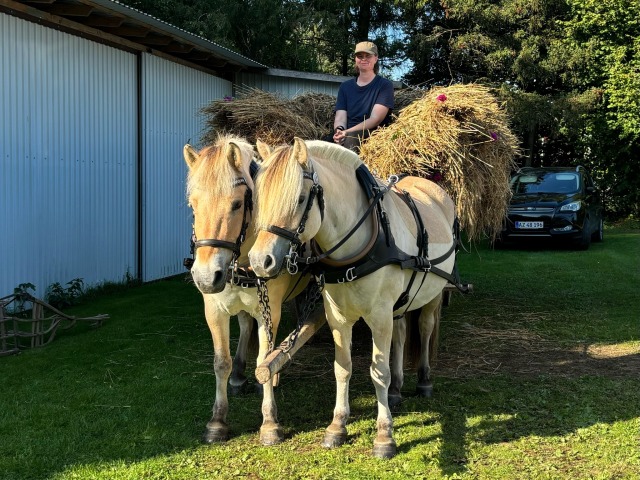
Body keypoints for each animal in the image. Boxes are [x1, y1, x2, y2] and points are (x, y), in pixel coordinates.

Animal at [182, 135, 310, 446]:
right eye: (193, 205)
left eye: (237, 203)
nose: (205, 277)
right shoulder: (214, 310)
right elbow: (221, 362)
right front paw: (217, 421)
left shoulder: (269, 312)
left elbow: (265, 360)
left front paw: (270, 423)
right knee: (243, 324)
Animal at [250, 139, 460, 458]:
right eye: (259, 197)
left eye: (300, 199)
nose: (260, 261)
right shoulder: (338, 317)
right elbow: (343, 368)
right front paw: (337, 426)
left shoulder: (380, 316)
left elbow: (378, 372)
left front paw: (384, 436)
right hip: (400, 303)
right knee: (401, 334)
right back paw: (396, 390)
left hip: (433, 296)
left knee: (424, 329)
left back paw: (424, 380)